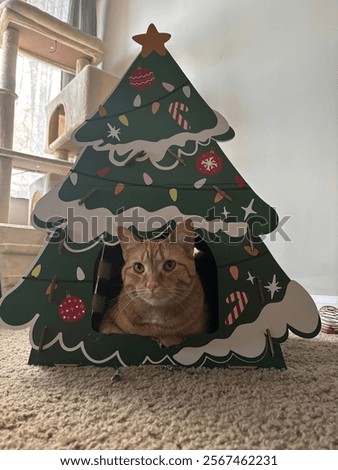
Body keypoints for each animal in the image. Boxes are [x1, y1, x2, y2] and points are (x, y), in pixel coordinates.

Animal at [99, 218, 207, 346]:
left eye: (169, 265)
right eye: (139, 267)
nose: (152, 285)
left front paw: (169, 339)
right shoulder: (107, 320)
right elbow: (112, 330)